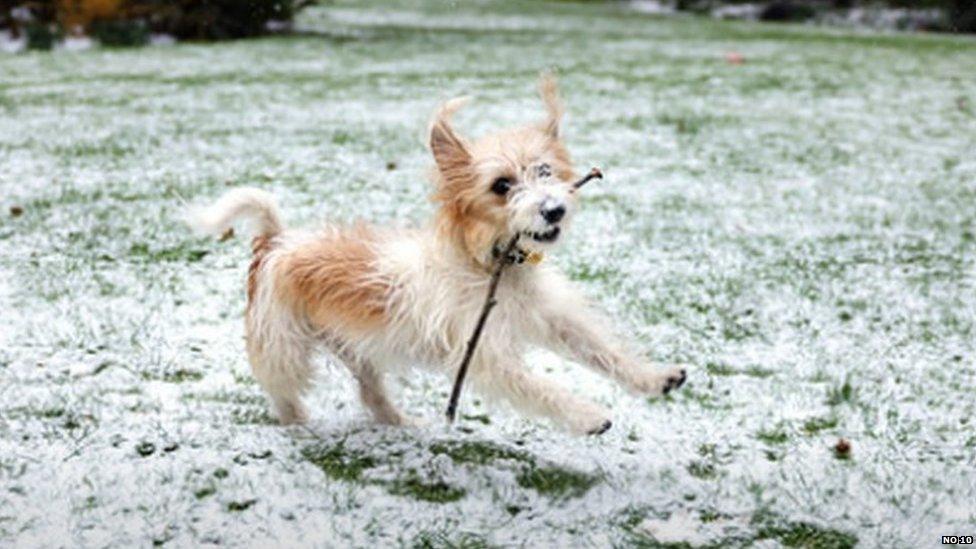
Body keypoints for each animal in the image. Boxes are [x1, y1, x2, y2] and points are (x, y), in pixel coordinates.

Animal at [191, 76, 688, 432]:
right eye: (502, 185)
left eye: (545, 171)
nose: (554, 209)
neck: (490, 264)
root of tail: (277, 240)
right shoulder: (486, 355)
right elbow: (538, 386)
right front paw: (586, 415)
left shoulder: (553, 317)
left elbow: (602, 349)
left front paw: (654, 377)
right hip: (284, 347)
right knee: (283, 391)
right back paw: (298, 425)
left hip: (357, 348)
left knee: (371, 394)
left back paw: (399, 423)